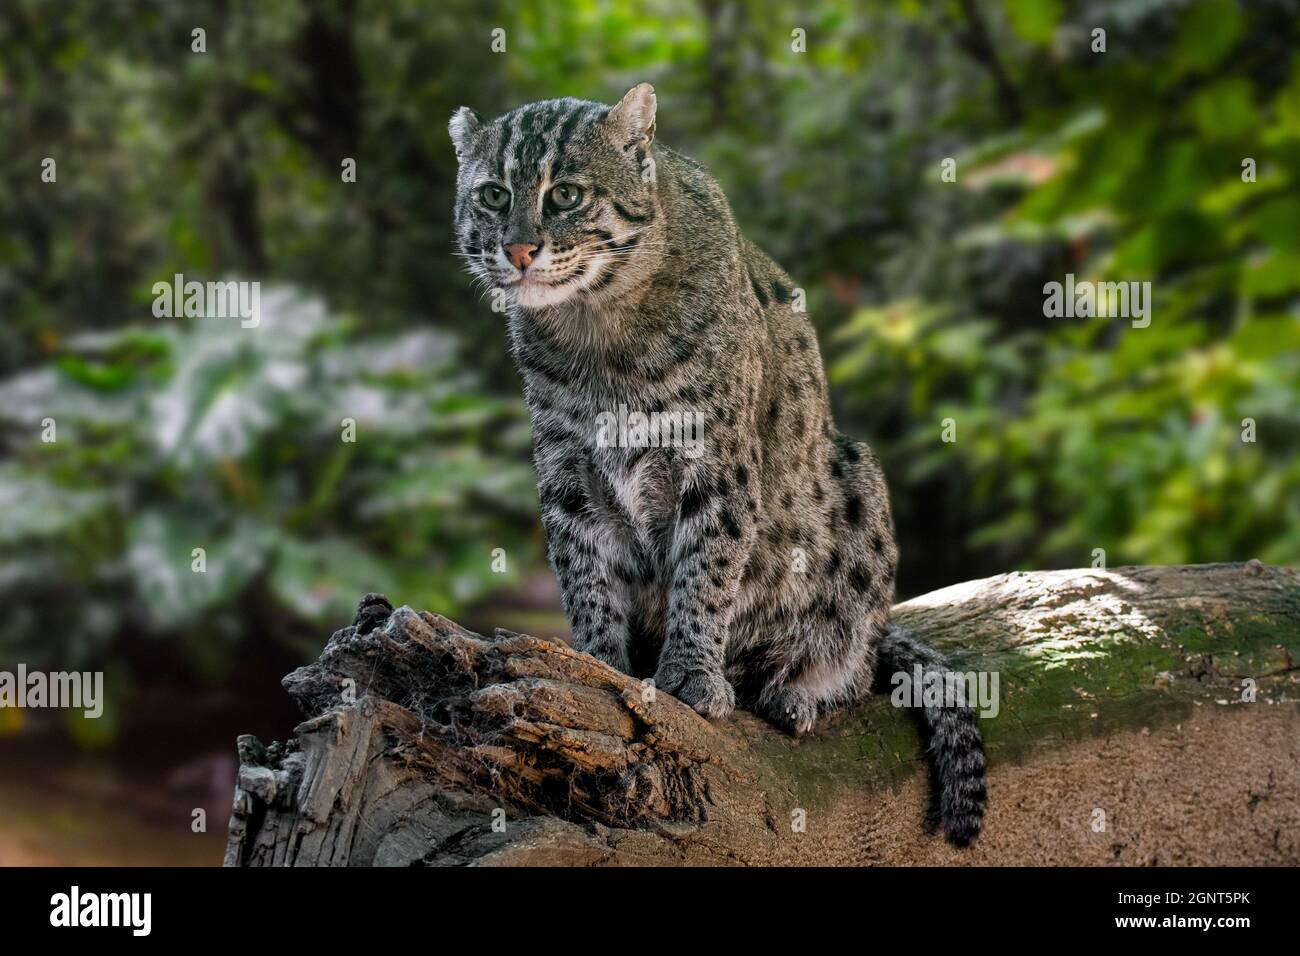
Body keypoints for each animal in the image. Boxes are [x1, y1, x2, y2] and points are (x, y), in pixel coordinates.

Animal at [447, 83, 982, 842]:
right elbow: (584, 576)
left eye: (567, 194)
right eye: (493, 194)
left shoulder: (717, 465)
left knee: (857, 655)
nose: (516, 248)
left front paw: (693, 673)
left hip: (858, 480)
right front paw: (598, 665)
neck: (595, 325)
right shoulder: (567, 471)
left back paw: (797, 690)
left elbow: (707, 569)